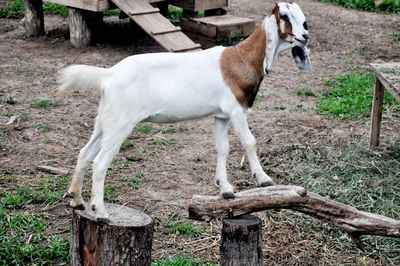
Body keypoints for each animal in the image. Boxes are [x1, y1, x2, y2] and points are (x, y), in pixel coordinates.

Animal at [59, 2, 310, 222]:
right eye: (285, 16)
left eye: (302, 18)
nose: (305, 36)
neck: (242, 59)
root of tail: (108, 74)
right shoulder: (236, 110)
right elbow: (250, 141)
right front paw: (264, 179)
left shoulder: (221, 115)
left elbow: (223, 148)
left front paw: (226, 189)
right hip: (121, 123)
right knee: (100, 162)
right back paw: (101, 212)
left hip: (105, 121)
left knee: (85, 153)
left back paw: (77, 200)